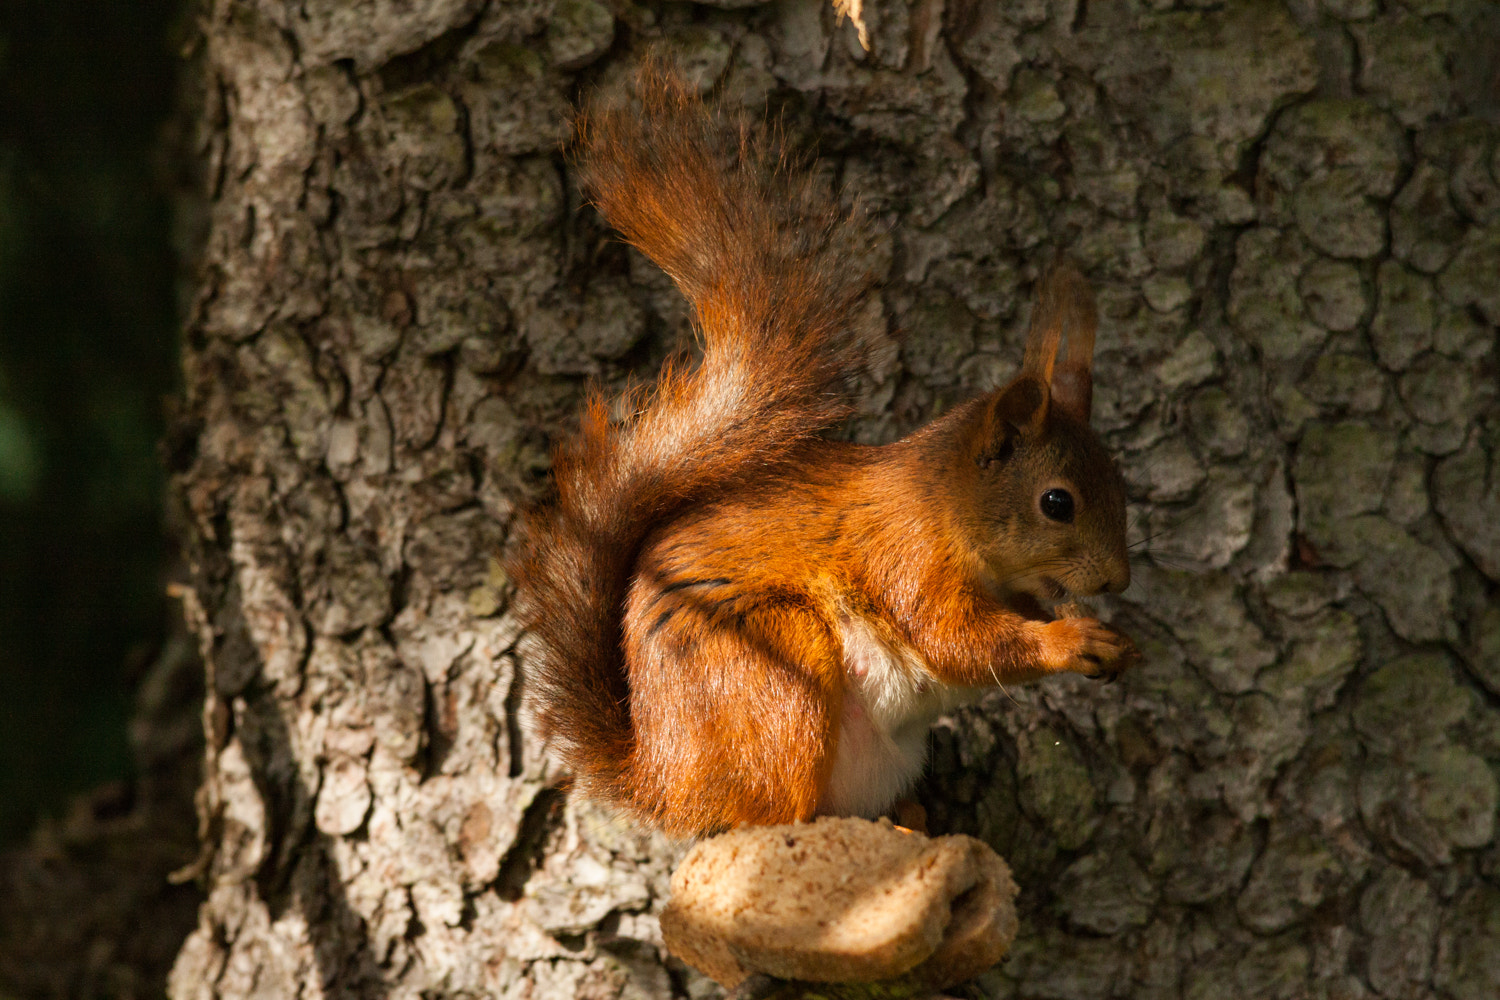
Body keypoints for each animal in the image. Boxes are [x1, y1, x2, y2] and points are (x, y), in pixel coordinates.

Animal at [510, 65, 1139, 839]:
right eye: (1057, 502)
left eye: (1120, 484)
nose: (1116, 581)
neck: (948, 504)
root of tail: (668, 781)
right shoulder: (907, 558)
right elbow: (955, 640)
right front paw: (1072, 643)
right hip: (774, 670)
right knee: (768, 811)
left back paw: (908, 820)